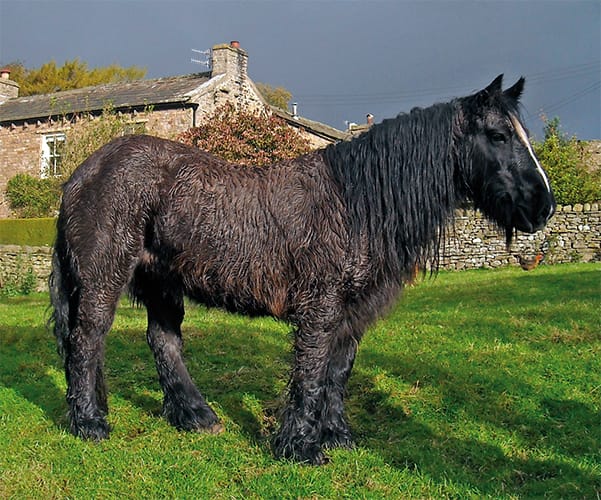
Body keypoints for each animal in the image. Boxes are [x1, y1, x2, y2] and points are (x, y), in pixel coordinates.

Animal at [50, 74, 552, 464]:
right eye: (499, 135)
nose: (543, 207)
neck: (357, 200)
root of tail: (83, 171)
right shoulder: (321, 307)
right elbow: (310, 370)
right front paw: (301, 447)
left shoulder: (353, 314)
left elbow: (337, 371)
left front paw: (337, 436)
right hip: (104, 277)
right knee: (87, 339)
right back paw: (90, 423)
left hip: (161, 281)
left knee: (162, 340)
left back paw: (196, 417)